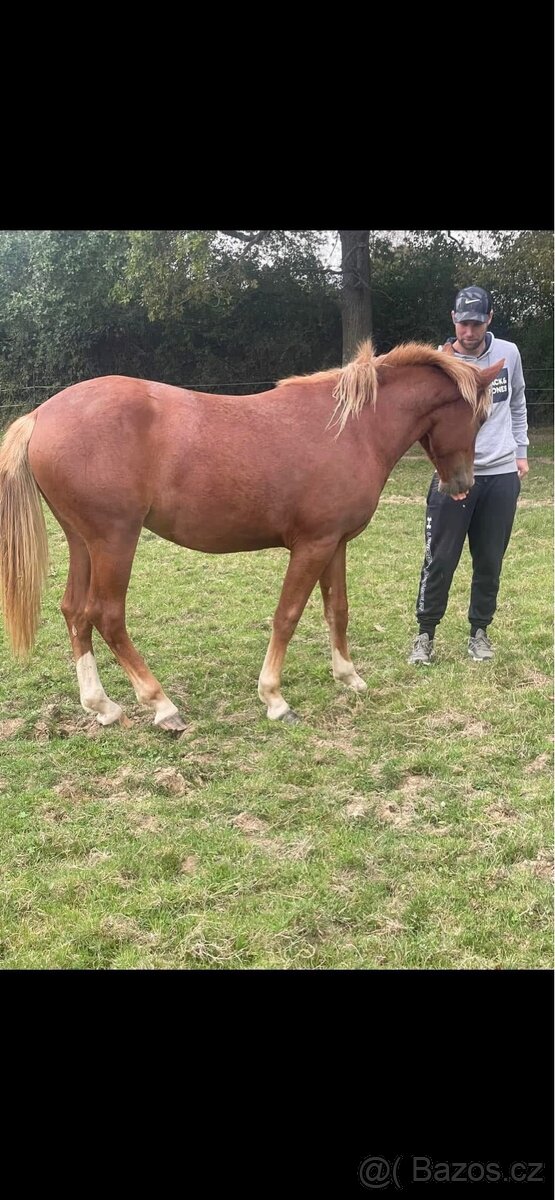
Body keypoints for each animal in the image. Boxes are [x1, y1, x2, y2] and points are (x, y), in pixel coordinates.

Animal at [0, 340, 501, 732]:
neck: (353, 430)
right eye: (478, 417)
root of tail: (41, 414)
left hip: (83, 542)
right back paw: (162, 706)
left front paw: (348, 676)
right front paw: (275, 698)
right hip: (115, 541)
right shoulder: (312, 546)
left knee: (74, 612)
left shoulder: (335, 544)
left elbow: (337, 610)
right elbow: (287, 615)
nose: (462, 486)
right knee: (106, 616)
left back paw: (102, 706)